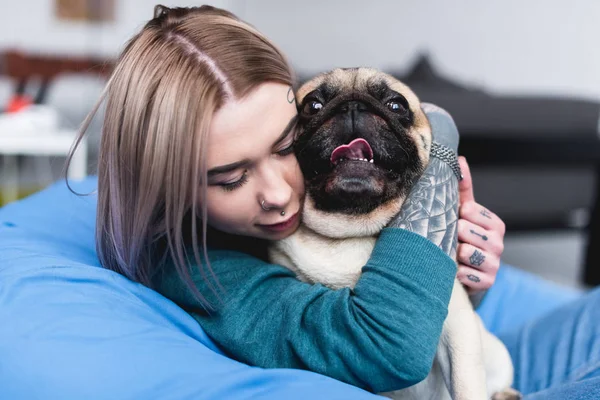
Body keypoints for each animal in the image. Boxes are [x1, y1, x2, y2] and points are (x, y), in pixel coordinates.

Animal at [270, 69, 516, 400]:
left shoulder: (458, 324)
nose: (352, 106)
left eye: (396, 105)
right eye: (312, 105)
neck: (353, 229)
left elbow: (467, 385)